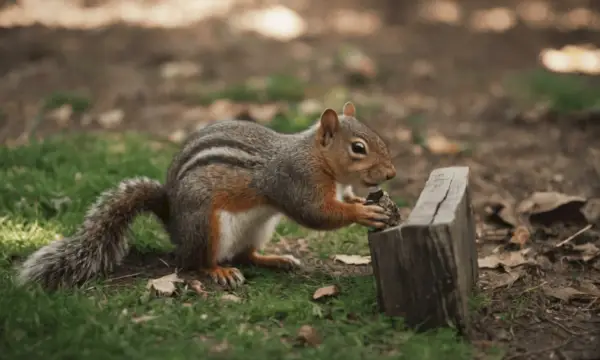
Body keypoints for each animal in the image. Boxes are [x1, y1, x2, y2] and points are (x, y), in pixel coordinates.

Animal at [16, 100, 396, 290]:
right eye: (358, 148)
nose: (391, 173)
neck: (318, 158)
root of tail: (174, 226)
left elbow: (340, 203)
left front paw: (369, 205)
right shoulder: (294, 180)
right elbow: (316, 213)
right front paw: (362, 213)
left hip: (257, 227)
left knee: (245, 255)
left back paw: (275, 259)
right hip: (207, 224)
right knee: (198, 261)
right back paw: (219, 272)